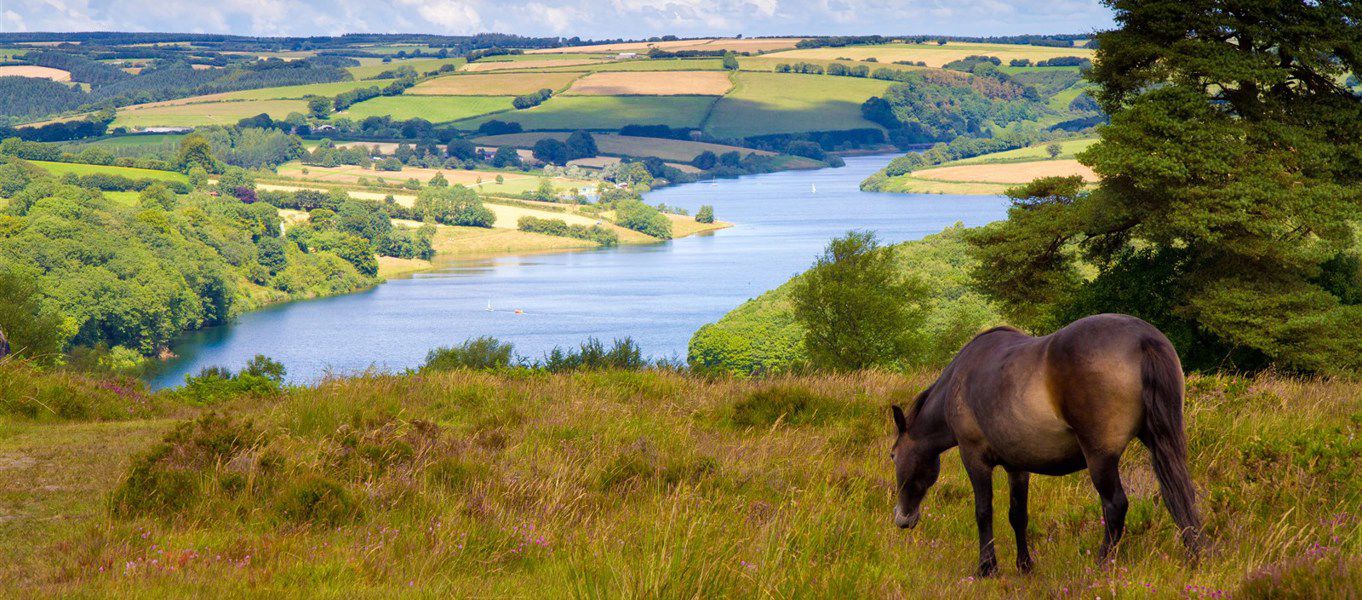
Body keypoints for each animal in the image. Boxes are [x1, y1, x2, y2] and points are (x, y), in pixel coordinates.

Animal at [893, 311, 1204, 574]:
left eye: (893, 455)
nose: (903, 519)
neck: (959, 382)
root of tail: (1143, 339)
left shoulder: (975, 459)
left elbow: (983, 512)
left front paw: (987, 568)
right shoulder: (1017, 466)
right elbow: (1018, 514)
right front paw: (1024, 565)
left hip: (1100, 458)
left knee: (1115, 506)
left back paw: (1101, 565)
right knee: (1180, 495)